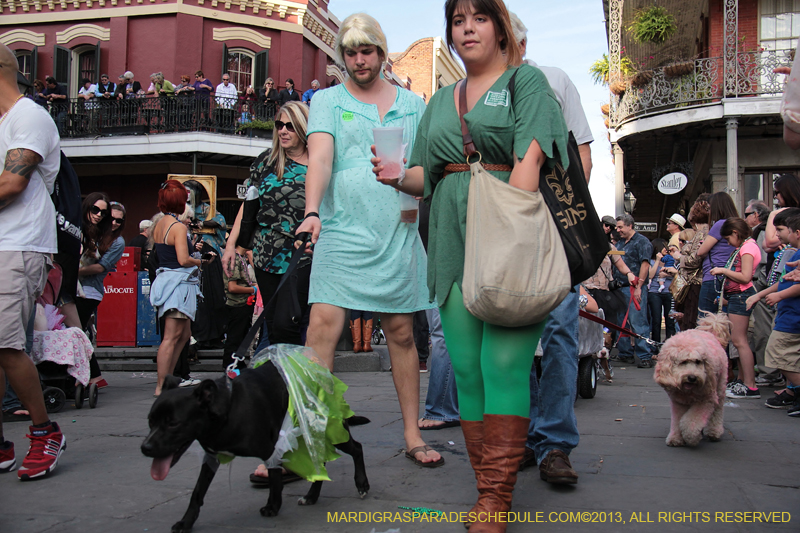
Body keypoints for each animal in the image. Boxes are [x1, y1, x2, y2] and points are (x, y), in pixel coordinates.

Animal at [142, 360, 370, 528]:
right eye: (150, 420)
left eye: (173, 423)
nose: (145, 448)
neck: (228, 407)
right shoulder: (211, 457)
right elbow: (198, 492)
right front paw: (186, 522)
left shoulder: (270, 450)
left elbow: (275, 478)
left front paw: (273, 507)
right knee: (320, 462)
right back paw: (311, 496)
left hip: (332, 430)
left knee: (357, 448)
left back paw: (361, 484)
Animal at [652, 312, 728, 444]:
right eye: (683, 362)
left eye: (698, 362)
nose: (692, 377)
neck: (687, 391)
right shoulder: (678, 402)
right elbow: (678, 420)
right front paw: (676, 438)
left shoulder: (706, 399)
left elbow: (690, 423)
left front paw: (692, 438)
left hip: (719, 386)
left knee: (717, 410)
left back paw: (714, 431)